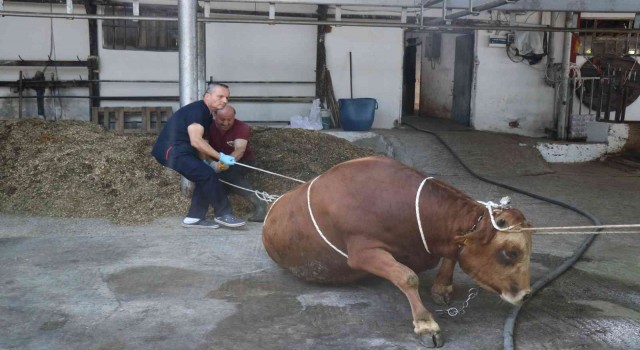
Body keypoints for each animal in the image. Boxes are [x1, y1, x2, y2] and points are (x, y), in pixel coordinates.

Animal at [262, 157, 532, 348]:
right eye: (511, 252)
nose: (527, 295)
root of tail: (271, 205)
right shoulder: (362, 252)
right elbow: (407, 277)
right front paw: (426, 324)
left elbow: (453, 254)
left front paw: (441, 288)